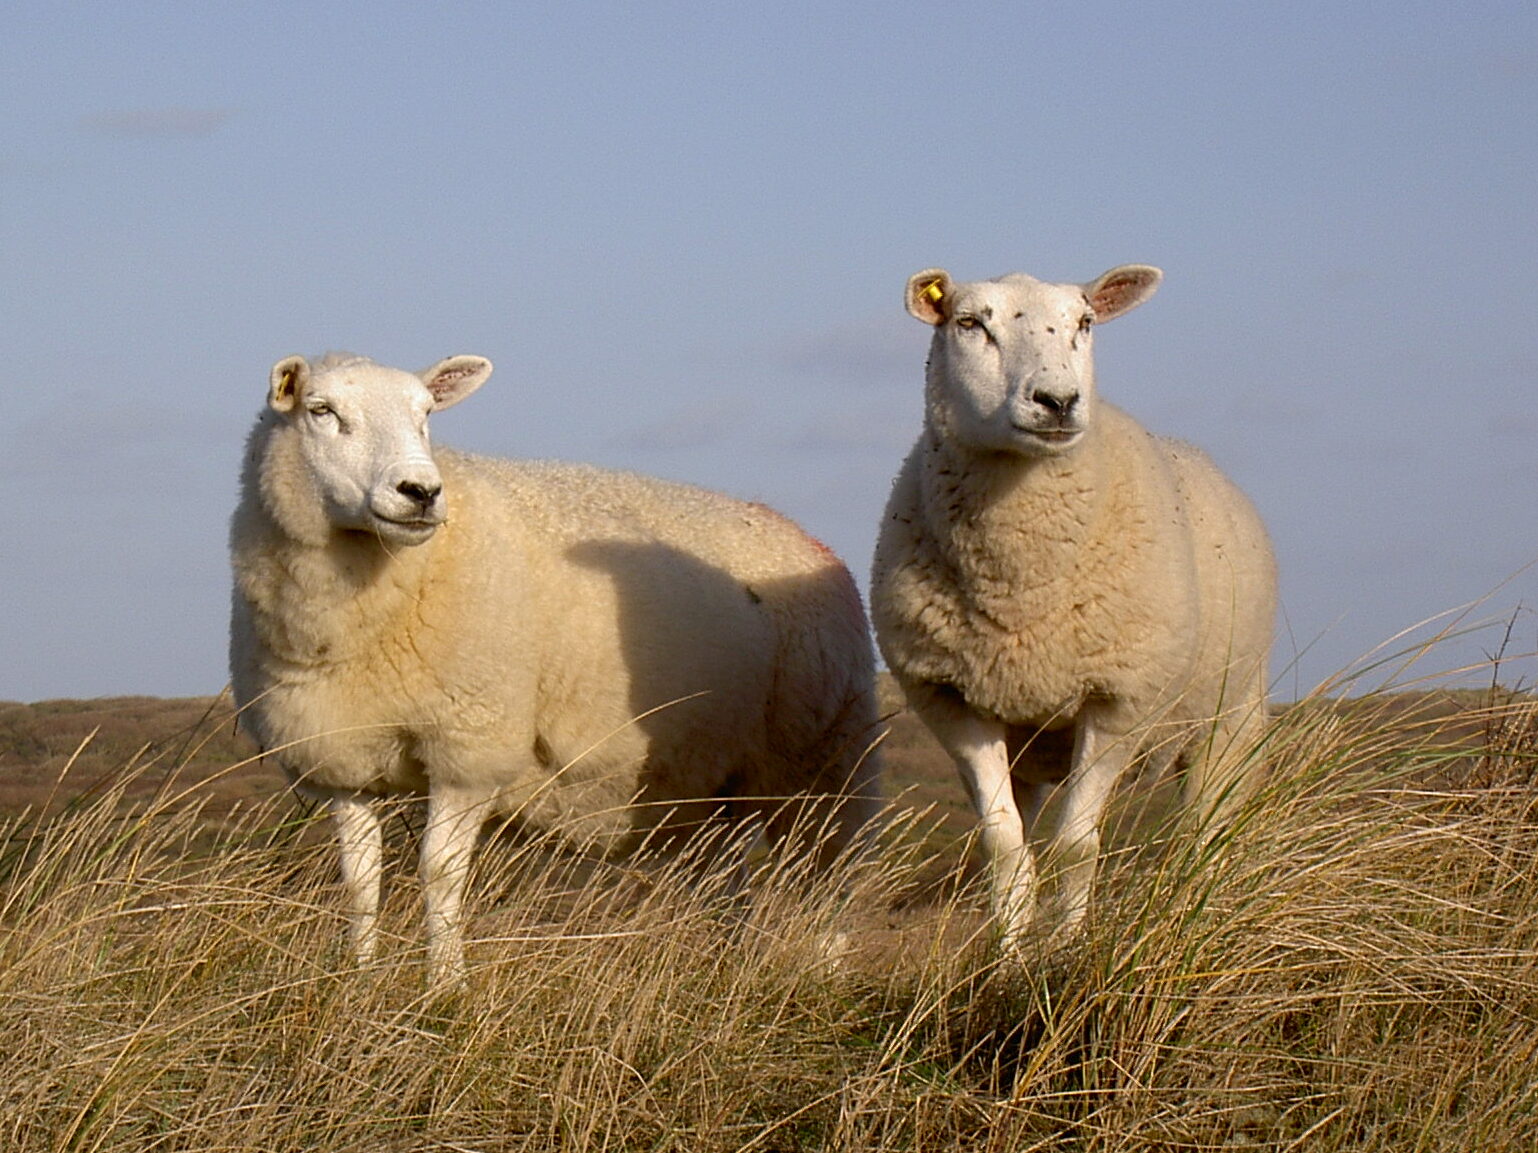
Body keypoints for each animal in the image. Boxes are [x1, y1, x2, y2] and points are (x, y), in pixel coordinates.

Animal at [230, 352, 883, 985]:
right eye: (321, 410)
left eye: (426, 415)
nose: (420, 492)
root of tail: (800, 534)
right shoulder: (341, 758)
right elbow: (360, 883)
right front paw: (358, 981)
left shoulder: (472, 745)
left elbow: (439, 874)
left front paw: (446, 987)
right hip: (716, 781)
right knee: (730, 881)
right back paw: (724, 967)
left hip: (822, 759)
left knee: (828, 875)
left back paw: (824, 976)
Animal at [870, 265, 1276, 952]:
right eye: (969, 322)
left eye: (1085, 322)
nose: (1057, 401)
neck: (1020, 587)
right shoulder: (954, 701)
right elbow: (1004, 845)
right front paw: (1007, 958)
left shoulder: (1118, 700)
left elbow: (1076, 847)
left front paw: (1064, 952)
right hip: (1028, 747)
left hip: (1232, 713)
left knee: (1207, 827)